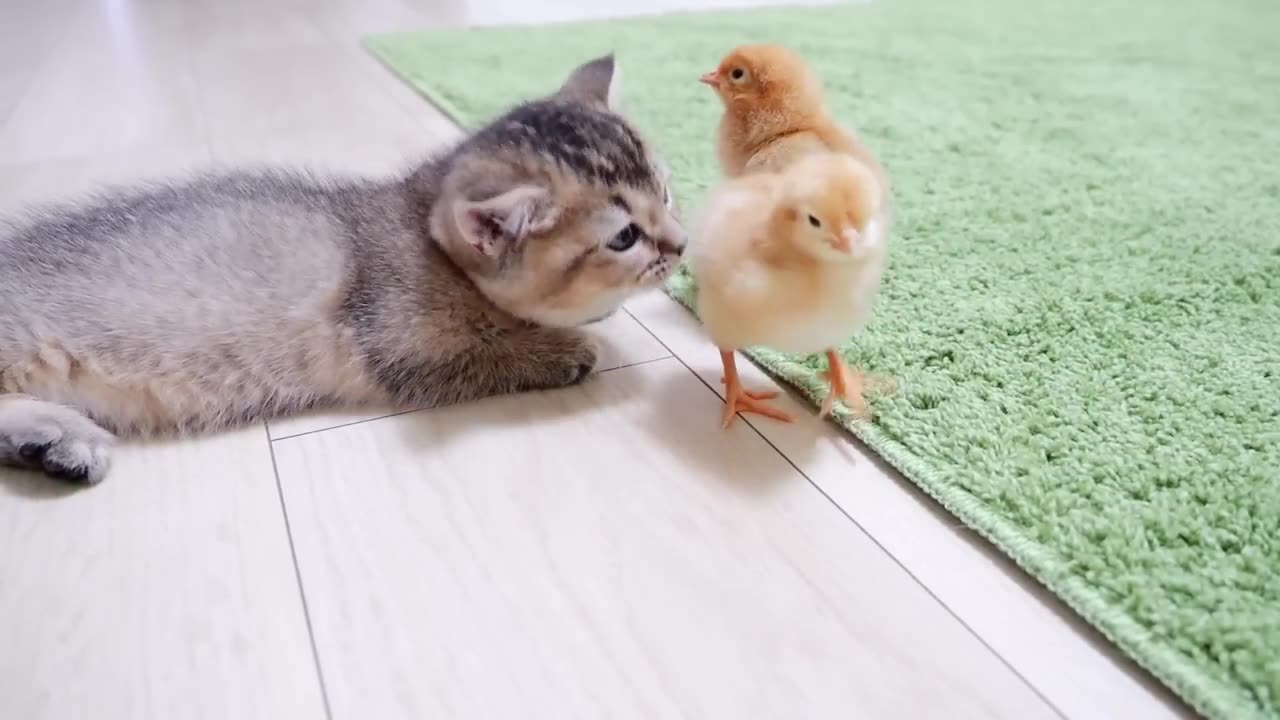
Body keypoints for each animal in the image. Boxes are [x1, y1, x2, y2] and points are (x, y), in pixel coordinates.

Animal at [0, 54, 691, 481]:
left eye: (666, 191)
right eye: (625, 236)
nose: (682, 246)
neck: (421, 224)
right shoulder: (404, 346)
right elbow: (490, 353)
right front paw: (563, 348)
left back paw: (52, 444)